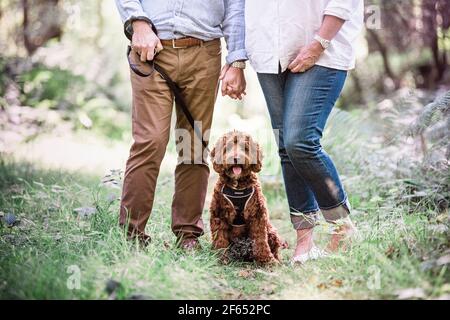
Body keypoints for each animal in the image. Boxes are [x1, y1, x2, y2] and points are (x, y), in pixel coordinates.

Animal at [209, 131, 284, 264]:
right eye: (228, 147)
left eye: (245, 147)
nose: (236, 159)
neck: (237, 186)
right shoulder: (219, 216)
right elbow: (220, 240)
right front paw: (221, 259)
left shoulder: (257, 215)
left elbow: (260, 240)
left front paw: (267, 261)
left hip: (271, 231)